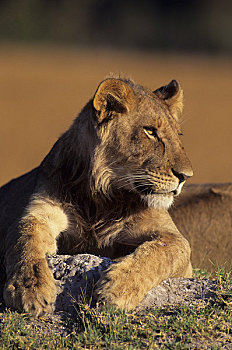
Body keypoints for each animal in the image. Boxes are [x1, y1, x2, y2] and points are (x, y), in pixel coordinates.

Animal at [0, 76, 192, 314]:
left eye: (178, 135)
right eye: (150, 131)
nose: (186, 176)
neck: (100, 199)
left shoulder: (173, 237)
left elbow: (161, 253)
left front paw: (118, 287)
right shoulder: (40, 212)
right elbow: (25, 241)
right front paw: (30, 288)